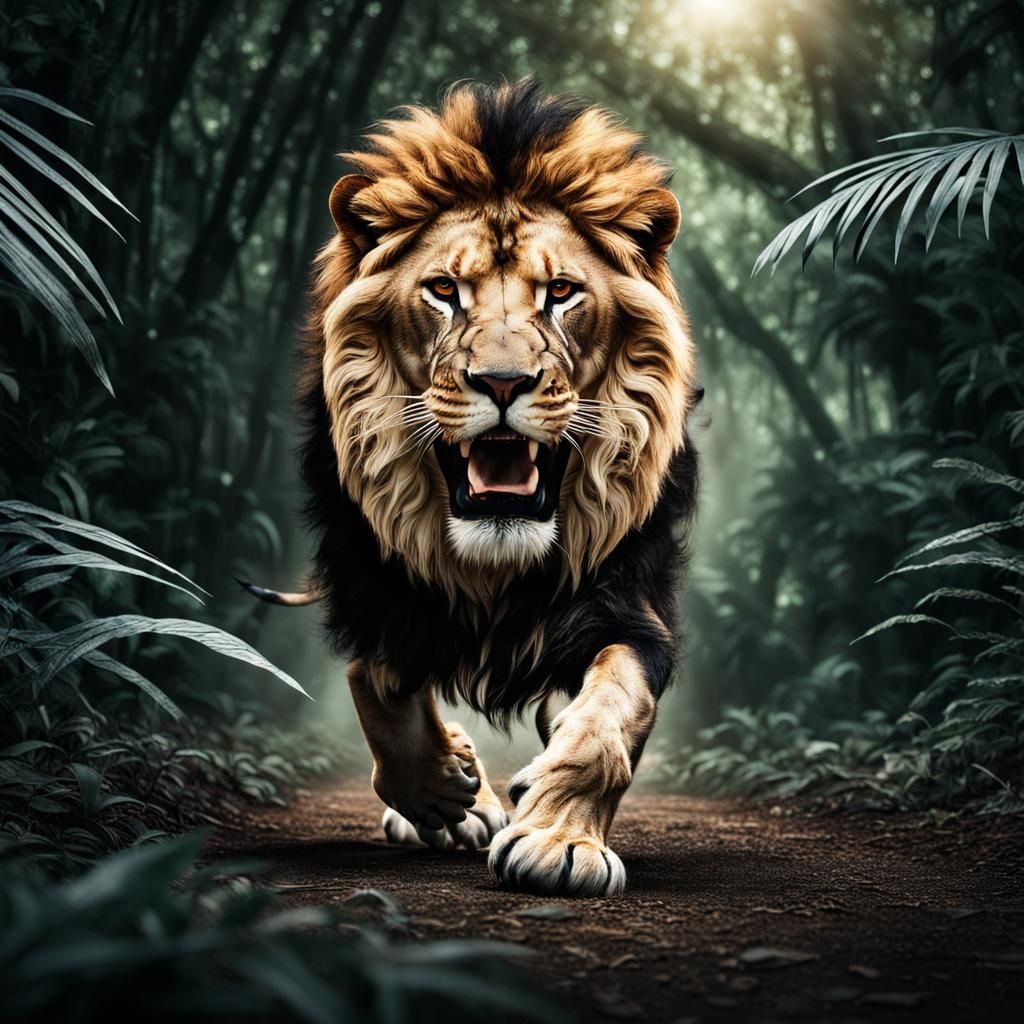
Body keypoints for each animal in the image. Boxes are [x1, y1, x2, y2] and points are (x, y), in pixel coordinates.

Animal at [245, 79, 701, 896]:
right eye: (444, 291)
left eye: (561, 292)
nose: (503, 381)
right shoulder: (379, 587)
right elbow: (377, 684)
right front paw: (446, 791)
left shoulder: (622, 607)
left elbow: (610, 712)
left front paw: (558, 840)